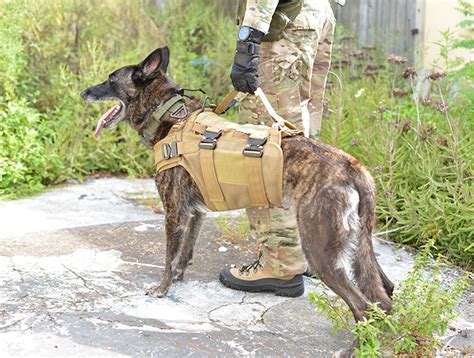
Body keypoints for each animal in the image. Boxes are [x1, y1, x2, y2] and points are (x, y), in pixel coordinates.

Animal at [80, 46, 392, 324]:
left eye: (110, 80)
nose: (83, 93)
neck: (170, 116)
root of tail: (352, 167)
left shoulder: (174, 214)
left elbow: (169, 257)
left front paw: (162, 288)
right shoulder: (195, 213)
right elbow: (184, 253)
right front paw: (179, 276)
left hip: (320, 250)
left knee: (363, 307)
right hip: (359, 246)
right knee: (385, 293)